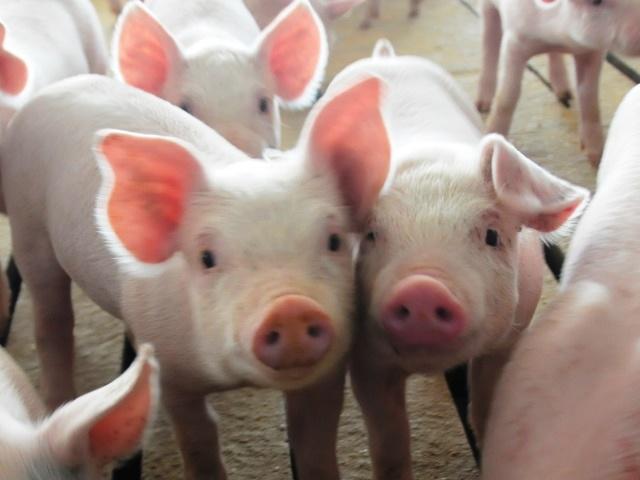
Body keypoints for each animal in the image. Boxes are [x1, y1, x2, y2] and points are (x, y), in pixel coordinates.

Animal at [317, 40, 588, 479]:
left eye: (492, 236)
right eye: (371, 235)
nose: (422, 287)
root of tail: (386, 57)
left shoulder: (510, 336)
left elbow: (486, 403)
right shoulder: (366, 359)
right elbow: (390, 439)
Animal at [477, 0, 640, 166]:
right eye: (596, 2)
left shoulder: (593, 52)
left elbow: (589, 95)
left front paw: (596, 158)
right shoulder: (514, 40)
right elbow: (508, 95)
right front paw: (490, 135)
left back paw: (564, 94)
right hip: (487, 9)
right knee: (488, 42)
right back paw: (482, 105)